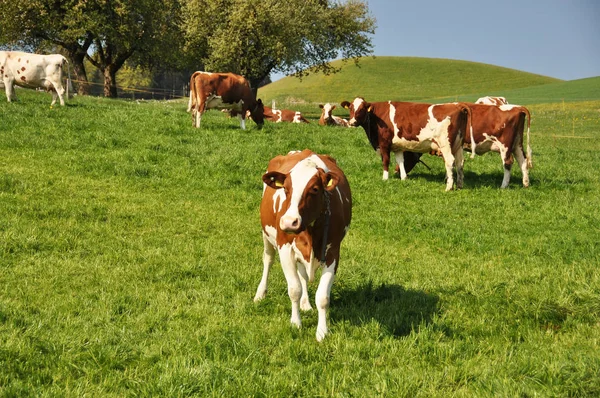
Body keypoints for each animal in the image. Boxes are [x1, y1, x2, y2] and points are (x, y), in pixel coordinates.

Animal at [254, 149, 352, 342]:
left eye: (314, 189)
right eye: (286, 189)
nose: (289, 222)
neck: (310, 230)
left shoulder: (333, 253)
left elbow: (322, 297)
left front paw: (322, 331)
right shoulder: (284, 248)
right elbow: (294, 289)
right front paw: (296, 323)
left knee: (303, 276)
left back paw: (306, 303)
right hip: (266, 235)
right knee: (268, 260)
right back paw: (260, 293)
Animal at [340, 96, 472, 190]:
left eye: (362, 109)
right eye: (351, 108)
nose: (352, 122)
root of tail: (458, 106)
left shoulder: (384, 144)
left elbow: (385, 161)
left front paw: (385, 178)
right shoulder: (397, 146)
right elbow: (400, 161)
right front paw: (403, 178)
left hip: (445, 144)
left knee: (450, 161)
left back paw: (449, 187)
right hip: (458, 145)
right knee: (460, 162)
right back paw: (459, 185)